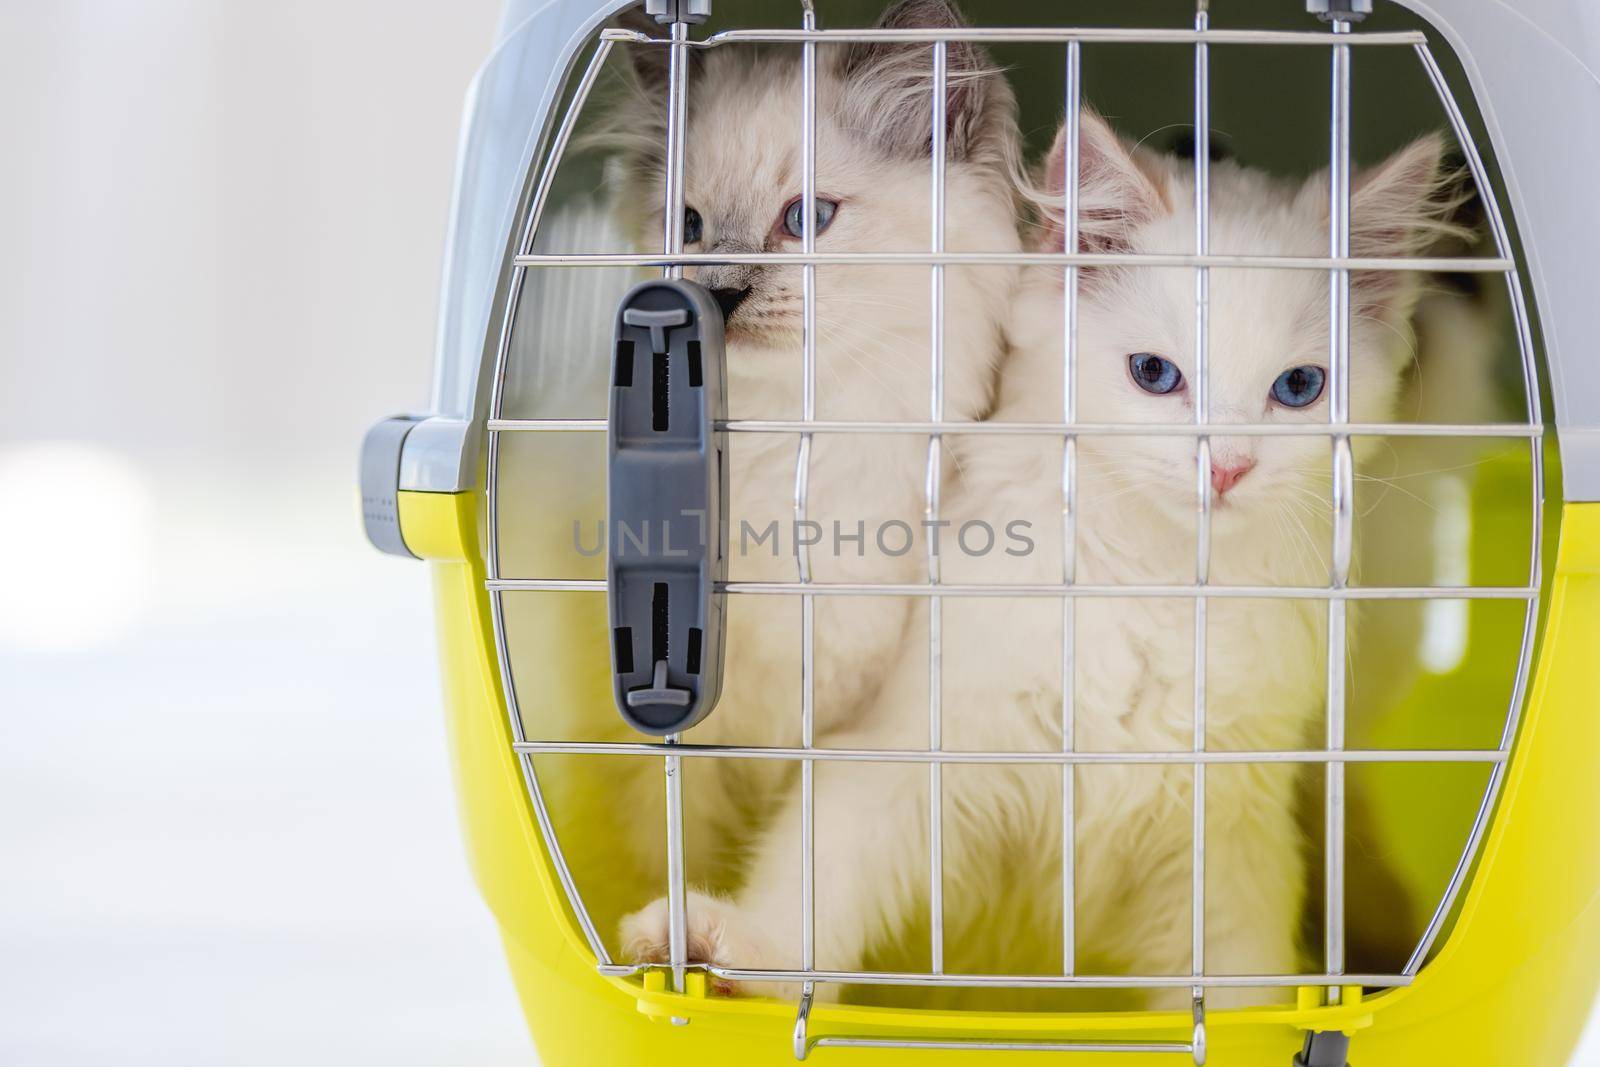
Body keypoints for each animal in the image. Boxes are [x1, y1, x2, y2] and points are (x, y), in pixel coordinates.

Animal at [588, 0, 1024, 966]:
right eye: (688, 226)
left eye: (808, 219)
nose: (722, 293)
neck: (789, 443)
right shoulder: (692, 732)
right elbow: (669, 836)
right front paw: (662, 942)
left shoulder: (853, 729)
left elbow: (810, 876)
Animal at [665, 110, 1472, 1011]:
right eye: (1154, 374)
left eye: (1300, 387)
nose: (1226, 467)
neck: (1161, 586)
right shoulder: (913, 750)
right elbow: (818, 875)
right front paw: (737, 958)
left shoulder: (1225, 834)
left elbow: (1232, 984)